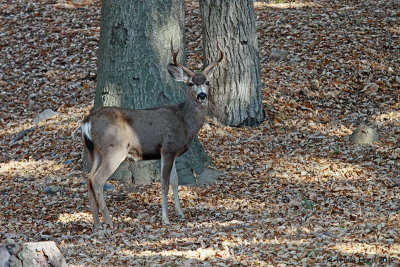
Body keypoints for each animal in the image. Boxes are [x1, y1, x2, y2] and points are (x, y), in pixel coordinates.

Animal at [82, 43, 223, 229]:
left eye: (207, 82)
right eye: (191, 83)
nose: (202, 95)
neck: (184, 121)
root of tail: (87, 122)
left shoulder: (172, 152)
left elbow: (175, 180)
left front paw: (180, 213)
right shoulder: (167, 147)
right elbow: (164, 183)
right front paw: (165, 218)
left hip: (95, 151)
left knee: (89, 178)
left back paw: (97, 224)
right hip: (114, 149)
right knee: (97, 180)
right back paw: (109, 222)